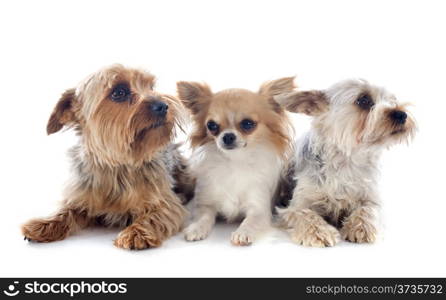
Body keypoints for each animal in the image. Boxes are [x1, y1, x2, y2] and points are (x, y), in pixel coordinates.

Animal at [274, 78, 416, 247]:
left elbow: (368, 210)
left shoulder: (371, 198)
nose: (402, 114)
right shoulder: (298, 204)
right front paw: (321, 232)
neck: (347, 160)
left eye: (393, 100)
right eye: (364, 100)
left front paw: (361, 228)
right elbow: (304, 213)